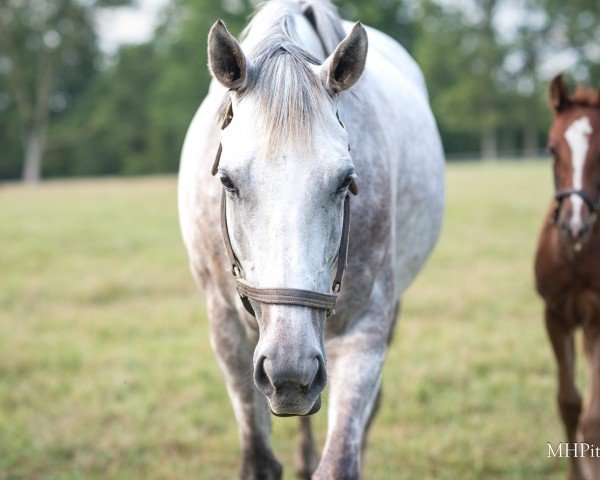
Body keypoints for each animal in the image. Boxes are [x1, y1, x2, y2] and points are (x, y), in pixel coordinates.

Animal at [176, 0, 442, 476]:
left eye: (346, 182)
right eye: (226, 181)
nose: (291, 371)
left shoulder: (364, 329)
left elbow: (339, 461)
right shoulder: (226, 328)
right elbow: (259, 459)